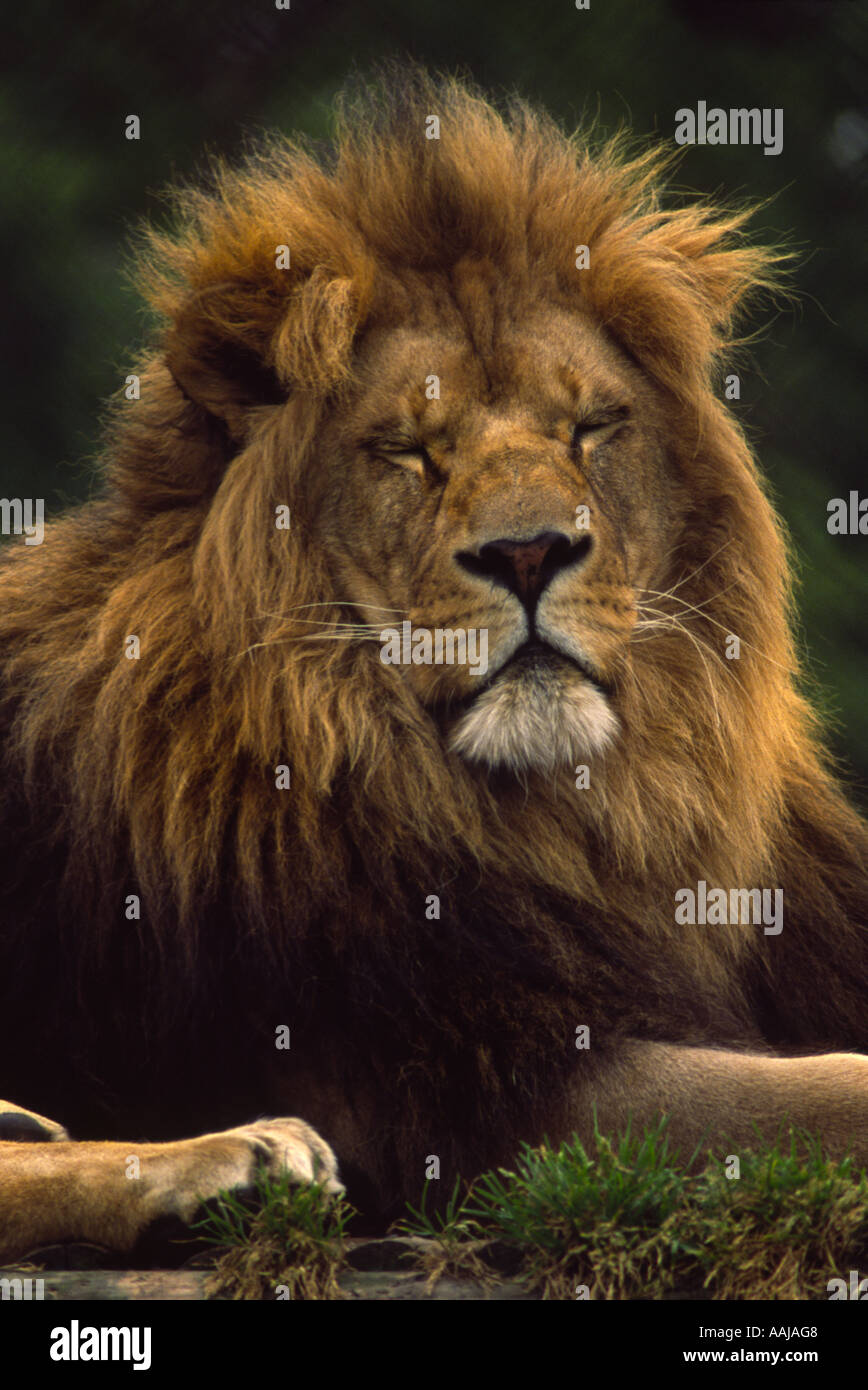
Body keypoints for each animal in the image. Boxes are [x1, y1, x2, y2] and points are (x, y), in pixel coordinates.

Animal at [1, 68, 867, 1267]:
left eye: (590, 428)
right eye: (411, 452)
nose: (529, 552)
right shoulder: (480, 1094)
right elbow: (825, 1096)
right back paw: (233, 1166)